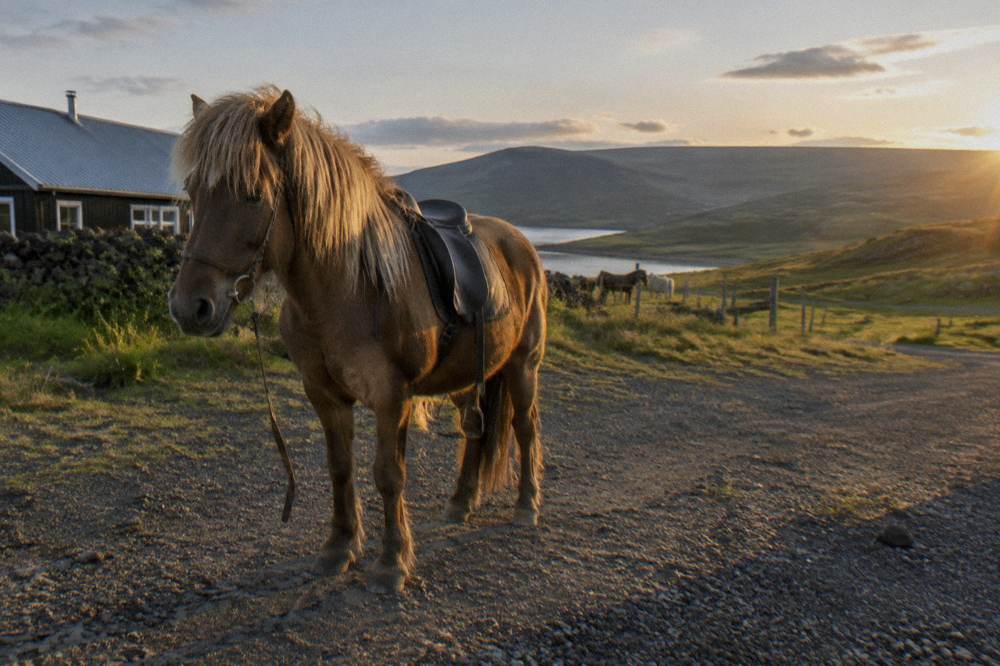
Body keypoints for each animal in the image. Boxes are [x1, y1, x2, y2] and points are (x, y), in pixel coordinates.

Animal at [168, 87, 547, 593]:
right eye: (193, 193)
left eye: (252, 195)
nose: (190, 307)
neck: (347, 290)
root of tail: (521, 245)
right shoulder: (325, 395)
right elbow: (340, 468)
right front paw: (339, 548)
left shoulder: (391, 396)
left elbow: (388, 474)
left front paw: (392, 561)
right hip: (470, 376)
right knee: (475, 431)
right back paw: (461, 502)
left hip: (524, 365)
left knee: (524, 427)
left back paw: (527, 506)